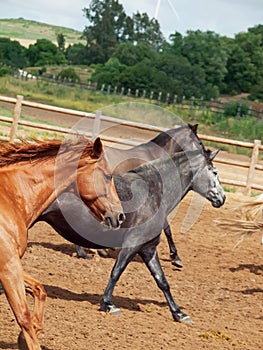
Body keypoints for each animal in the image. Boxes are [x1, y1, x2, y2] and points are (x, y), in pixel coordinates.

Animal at [0, 137, 124, 350]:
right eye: (108, 176)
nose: (121, 215)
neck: (10, 197)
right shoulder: (8, 267)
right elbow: (24, 317)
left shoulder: (13, 265)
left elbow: (39, 289)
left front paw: (28, 334)